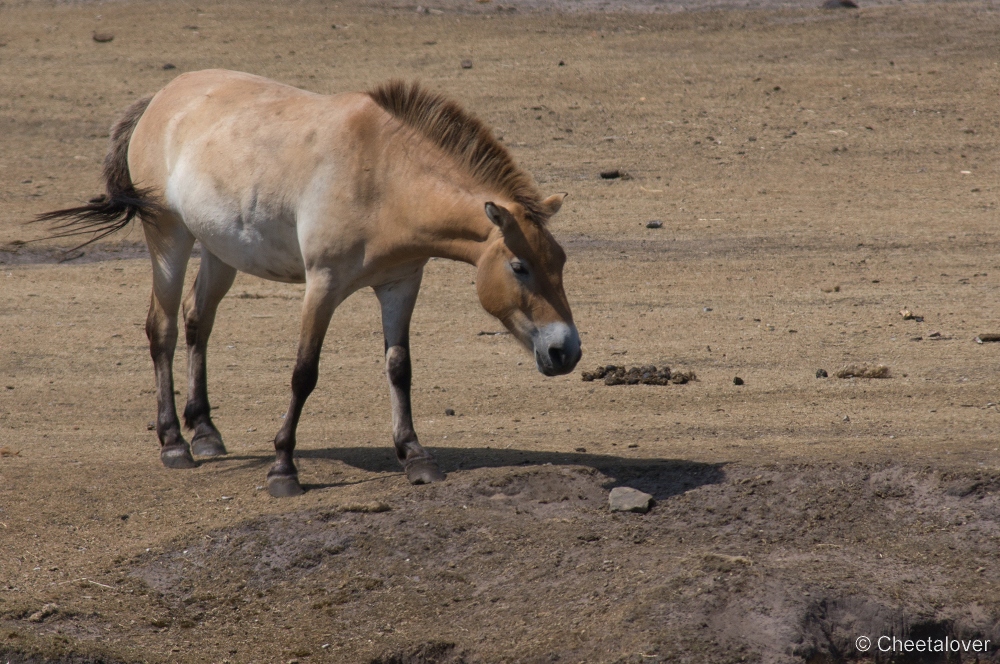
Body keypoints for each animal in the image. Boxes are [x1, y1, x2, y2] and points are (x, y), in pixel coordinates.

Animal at [39, 71, 584, 498]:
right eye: (519, 266)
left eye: (559, 261)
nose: (567, 351)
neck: (384, 176)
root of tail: (160, 98)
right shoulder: (323, 285)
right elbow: (304, 373)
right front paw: (284, 469)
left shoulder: (401, 284)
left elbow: (400, 369)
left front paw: (415, 456)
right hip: (169, 238)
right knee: (164, 329)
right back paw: (174, 443)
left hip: (219, 250)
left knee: (199, 322)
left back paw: (206, 433)